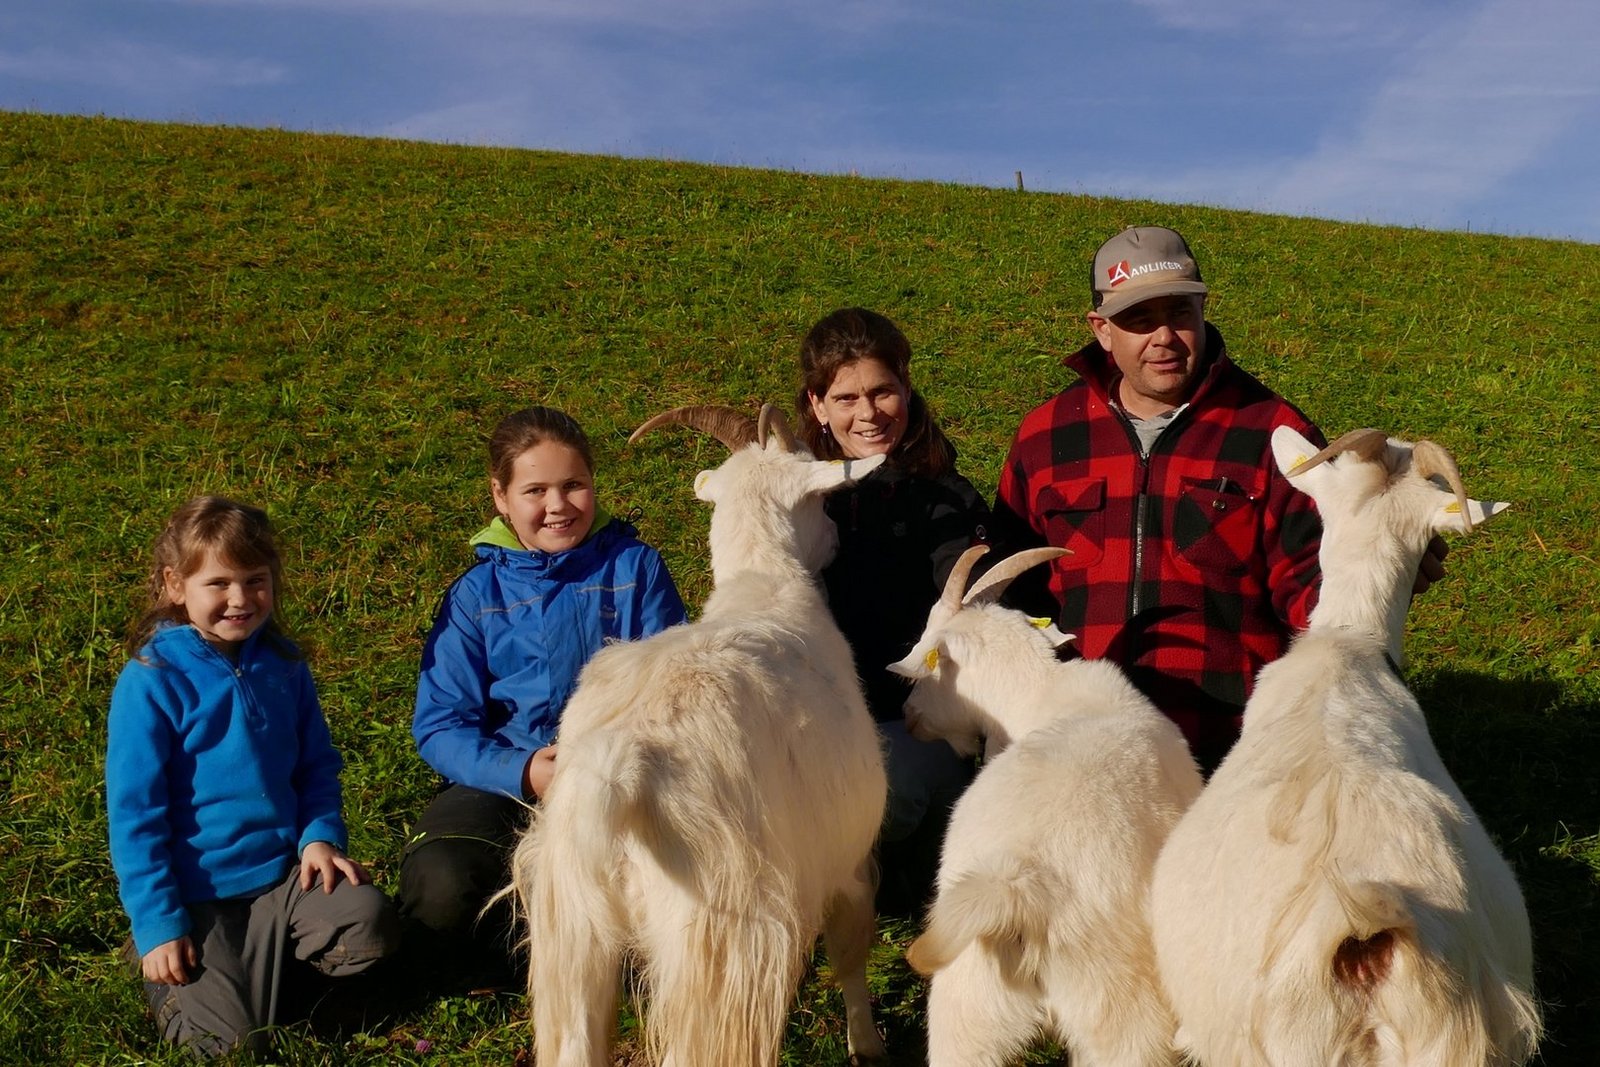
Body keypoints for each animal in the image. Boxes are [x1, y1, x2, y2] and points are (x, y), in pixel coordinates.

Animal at [508, 403, 891, 1067]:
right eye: (823, 501)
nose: (839, 541)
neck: (765, 585)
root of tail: (621, 778)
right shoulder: (846, 858)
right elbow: (850, 955)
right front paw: (866, 1044)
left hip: (572, 935)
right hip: (719, 948)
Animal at [885, 544, 1204, 1067]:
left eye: (932, 661)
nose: (910, 716)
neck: (1042, 693)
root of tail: (1016, 889)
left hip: (971, 1011)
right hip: (1117, 1014)